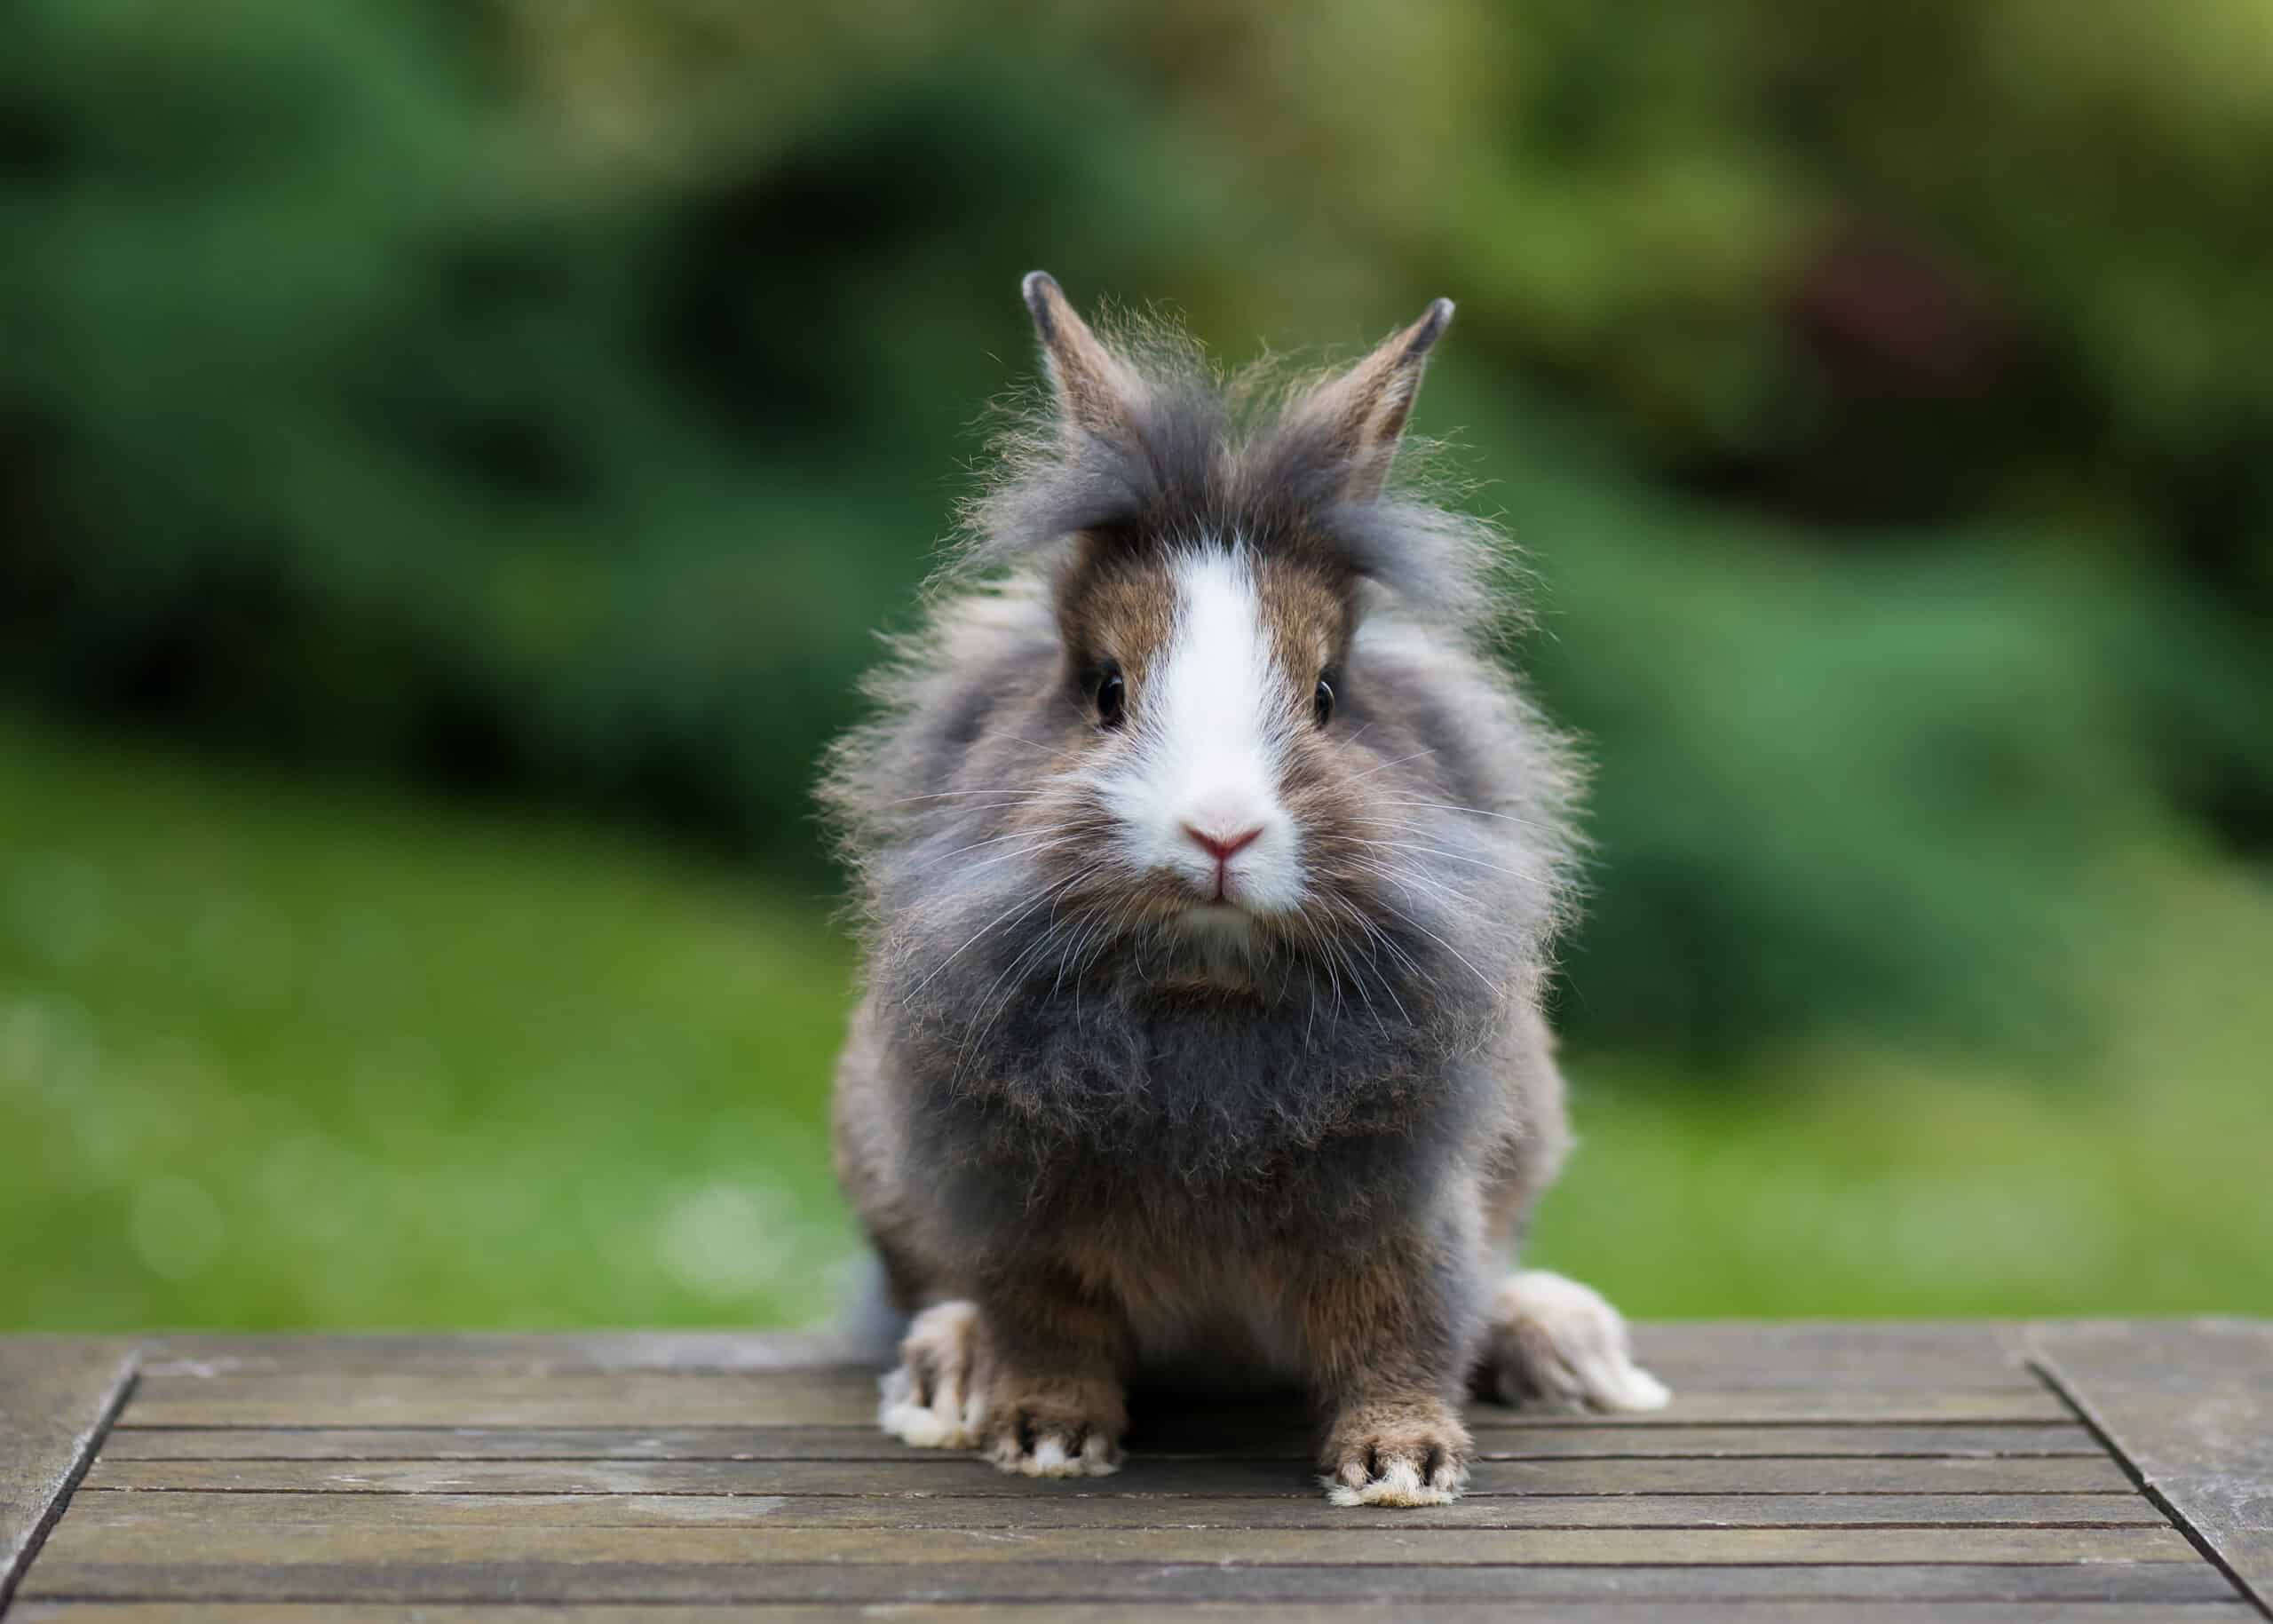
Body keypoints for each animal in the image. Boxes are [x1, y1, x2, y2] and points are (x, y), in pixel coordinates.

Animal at [822, 272, 1673, 1501]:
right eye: (1107, 690)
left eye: (1325, 694)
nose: (1220, 830)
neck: (1205, 994)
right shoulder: (1018, 1200)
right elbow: (1047, 1319)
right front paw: (1045, 1437)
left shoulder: (1401, 1203)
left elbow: (1400, 1326)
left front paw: (1401, 1463)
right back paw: (952, 1369)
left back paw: (1565, 1344)